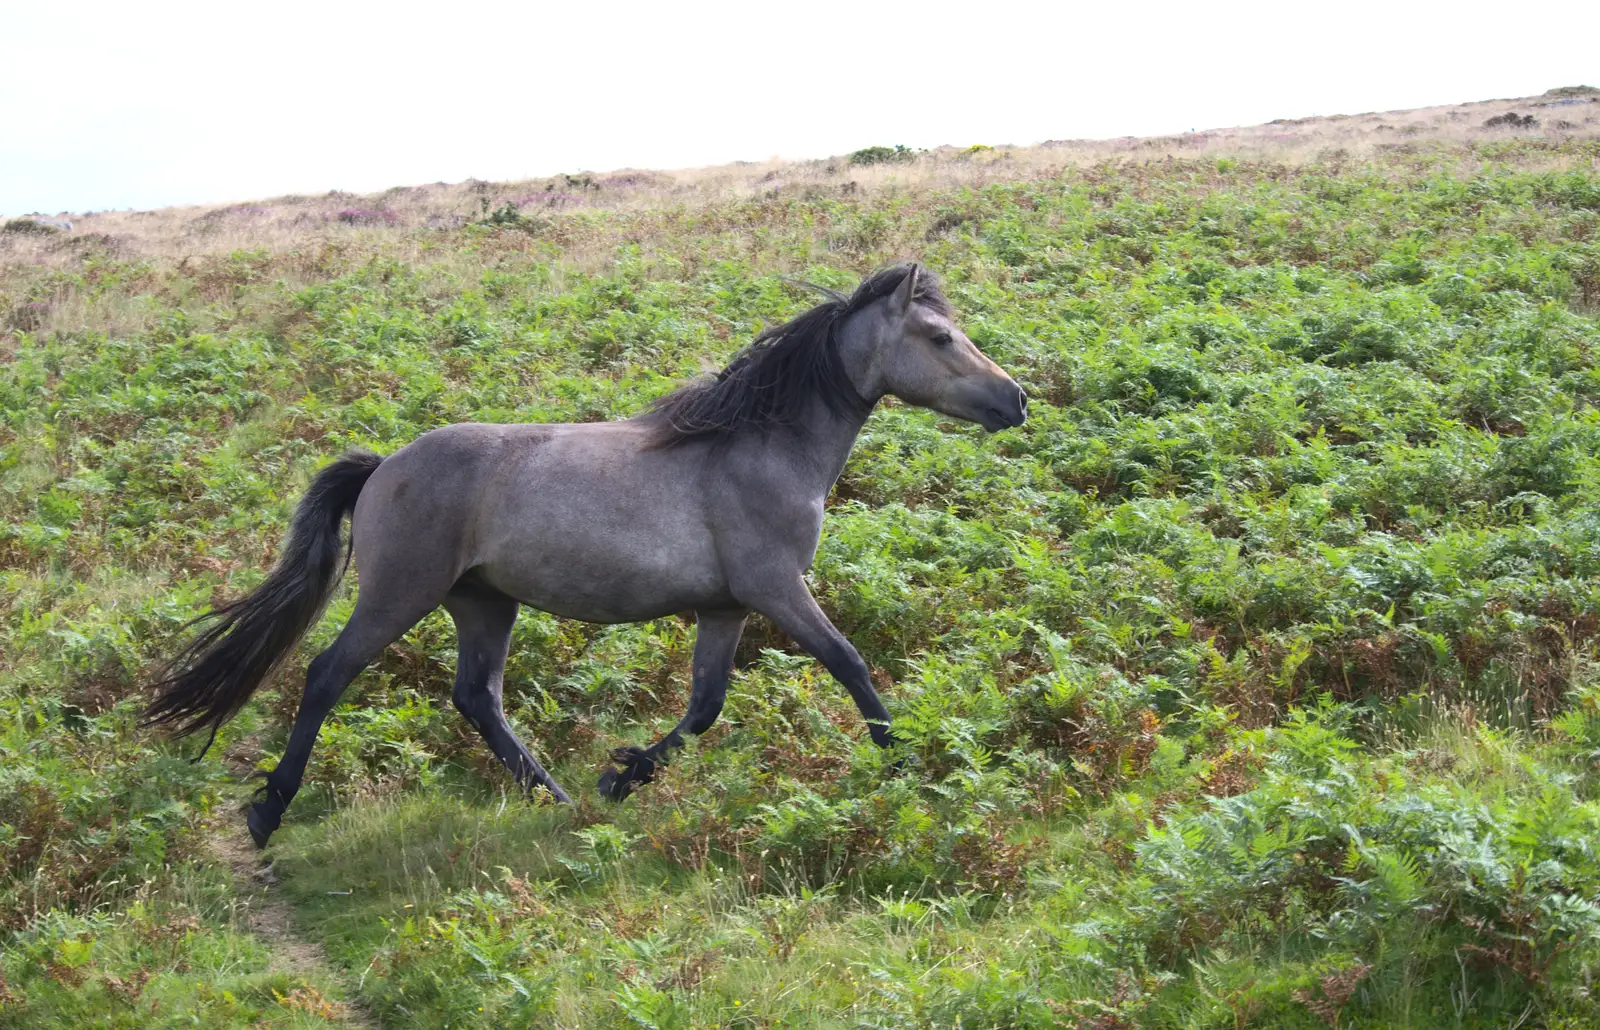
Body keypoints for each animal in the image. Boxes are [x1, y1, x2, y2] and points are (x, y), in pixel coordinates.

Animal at [147, 263, 1024, 844]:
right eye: (939, 335)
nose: (1014, 399)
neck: (760, 446)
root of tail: (384, 465)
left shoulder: (725, 608)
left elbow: (704, 707)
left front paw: (620, 775)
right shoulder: (777, 589)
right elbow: (848, 663)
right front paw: (903, 767)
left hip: (484, 602)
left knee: (477, 698)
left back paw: (556, 798)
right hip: (400, 594)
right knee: (330, 675)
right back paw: (267, 811)